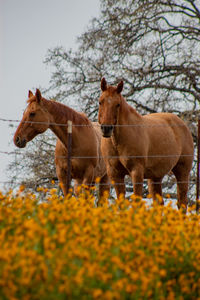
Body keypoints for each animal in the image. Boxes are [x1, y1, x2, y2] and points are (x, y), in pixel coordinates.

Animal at [98, 77, 194, 210]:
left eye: (117, 104)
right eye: (100, 102)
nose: (106, 128)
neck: (118, 142)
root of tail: (183, 124)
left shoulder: (137, 172)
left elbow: (137, 201)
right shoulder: (114, 174)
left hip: (182, 172)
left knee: (182, 202)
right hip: (155, 177)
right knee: (159, 203)